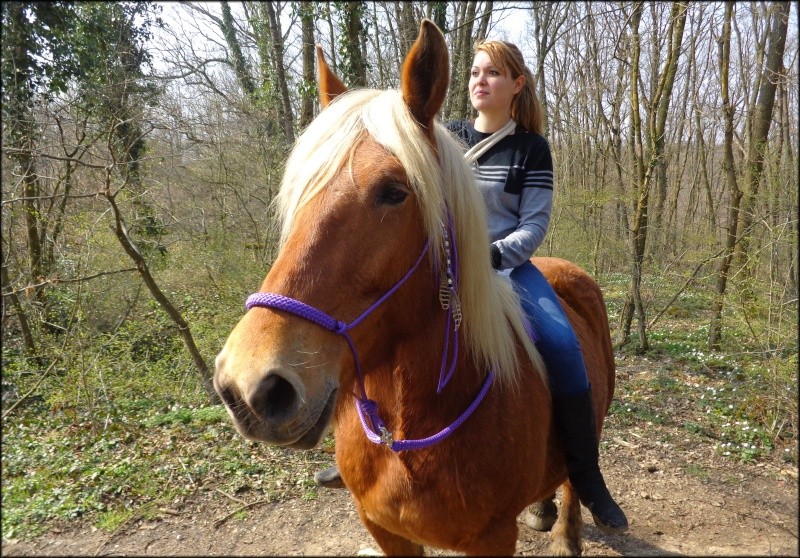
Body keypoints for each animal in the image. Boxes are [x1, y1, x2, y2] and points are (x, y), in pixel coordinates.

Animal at [217, 19, 620, 556]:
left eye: (393, 192)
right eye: (297, 193)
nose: (251, 384)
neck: (414, 427)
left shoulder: (493, 537)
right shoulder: (383, 528)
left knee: (578, 474)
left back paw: (569, 532)